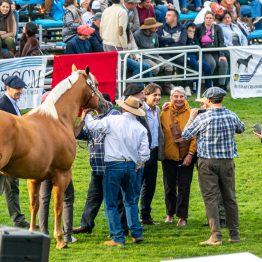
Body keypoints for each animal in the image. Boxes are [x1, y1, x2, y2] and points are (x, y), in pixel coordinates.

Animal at [0, 64, 104, 249]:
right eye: (97, 84)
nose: (105, 104)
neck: (57, 120)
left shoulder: (34, 178)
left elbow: (35, 205)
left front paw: (32, 233)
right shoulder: (62, 175)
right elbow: (58, 206)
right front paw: (61, 240)